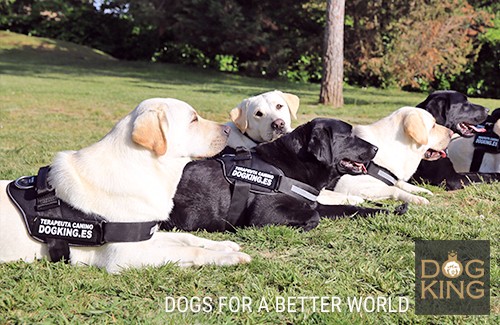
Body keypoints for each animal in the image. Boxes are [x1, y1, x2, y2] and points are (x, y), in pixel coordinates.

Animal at [0, 97, 250, 272]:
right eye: (193, 119)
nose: (228, 129)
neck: (145, 170)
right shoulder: (123, 255)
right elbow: (190, 251)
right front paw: (228, 258)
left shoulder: (146, 232)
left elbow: (187, 238)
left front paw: (224, 245)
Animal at [164, 117, 406, 232]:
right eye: (348, 136)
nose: (376, 149)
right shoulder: (264, 214)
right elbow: (314, 217)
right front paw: (303, 226)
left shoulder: (316, 204)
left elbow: (351, 208)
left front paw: (392, 210)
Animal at [320, 106, 454, 204]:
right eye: (433, 126)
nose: (452, 133)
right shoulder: (354, 186)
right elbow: (394, 188)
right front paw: (416, 198)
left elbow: (402, 184)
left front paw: (422, 191)